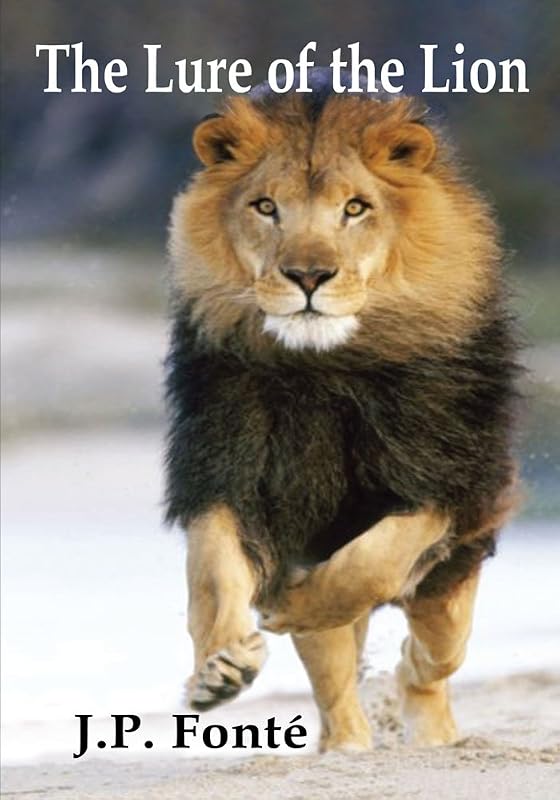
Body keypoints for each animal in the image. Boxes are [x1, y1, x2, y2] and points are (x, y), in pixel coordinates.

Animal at [164, 69, 519, 753]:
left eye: (355, 208)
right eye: (265, 207)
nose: (308, 276)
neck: (325, 370)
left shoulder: (446, 483)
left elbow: (371, 565)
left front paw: (290, 606)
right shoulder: (228, 469)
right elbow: (215, 572)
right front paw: (219, 672)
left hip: (456, 568)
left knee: (433, 654)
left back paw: (427, 726)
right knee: (338, 678)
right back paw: (346, 746)